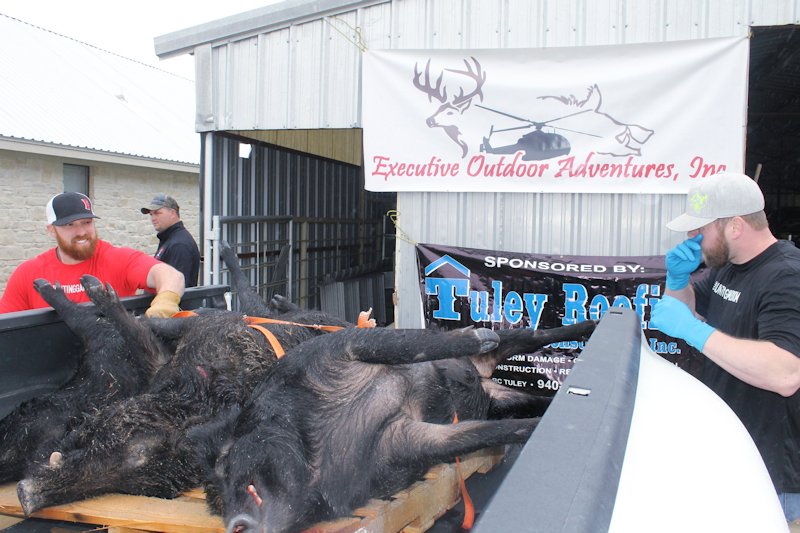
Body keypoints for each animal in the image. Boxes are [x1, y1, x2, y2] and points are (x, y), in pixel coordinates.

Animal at [192, 320, 596, 533]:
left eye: (226, 464)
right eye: (215, 500)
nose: (234, 524)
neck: (316, 445)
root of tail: (483, 378)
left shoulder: (336, 349)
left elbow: (406, 344)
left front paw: (477, 334)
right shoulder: (402, 445)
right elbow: (481, 435)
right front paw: (536, 428)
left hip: (506, 352)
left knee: (531, 336)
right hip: (499, 400)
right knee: (524, 396)